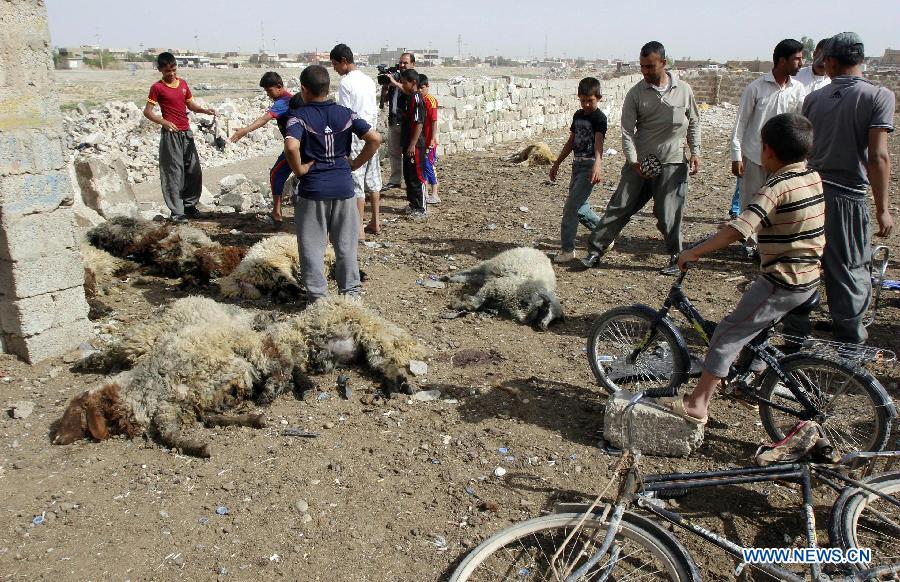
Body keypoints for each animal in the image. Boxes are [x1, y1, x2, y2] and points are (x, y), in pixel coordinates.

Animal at [54, 296, 428, 456]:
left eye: (74, 415)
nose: (57, 438)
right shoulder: (185, 403)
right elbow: (195, 423)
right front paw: (239, 423)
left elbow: (172, 433)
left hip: (363, 336)